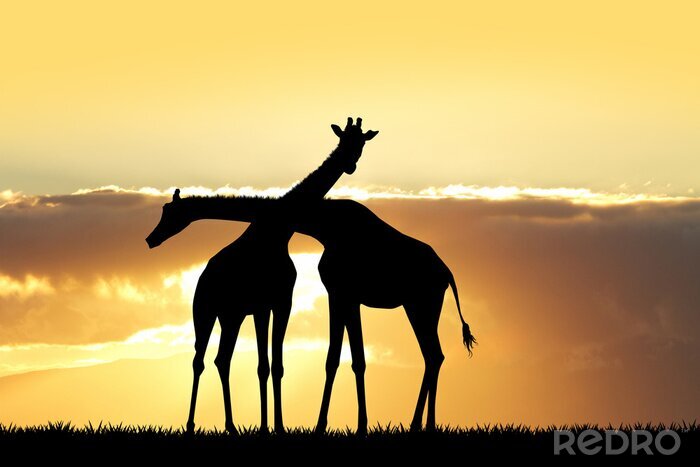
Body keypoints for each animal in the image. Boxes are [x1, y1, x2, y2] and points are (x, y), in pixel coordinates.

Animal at [146, 118, 377, 434]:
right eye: (342, 140)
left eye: (361, 143)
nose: (151, 239)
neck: (277, 232)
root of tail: (202, 278)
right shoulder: (262, 306)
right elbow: (263, 365)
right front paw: (268, 424)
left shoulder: (277, 303)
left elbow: (272, 365)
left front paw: (274, 426)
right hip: (203, 312)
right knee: (199, 360)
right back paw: (191, 424)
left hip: (231, 317)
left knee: (222, 360)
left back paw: (231, 425)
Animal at [146, 198, 476, 434]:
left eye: (169, 213)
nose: (152, 239)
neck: (323, 225)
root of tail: (447, 272)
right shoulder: (344, 296)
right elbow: (347, 359)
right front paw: (350, 425)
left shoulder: (341, 293)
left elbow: (340, 359)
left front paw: (331, 426)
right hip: (418, 305)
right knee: (434, 355)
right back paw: (421, 424)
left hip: (422, 303)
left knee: (433, 354)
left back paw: (421, 424)